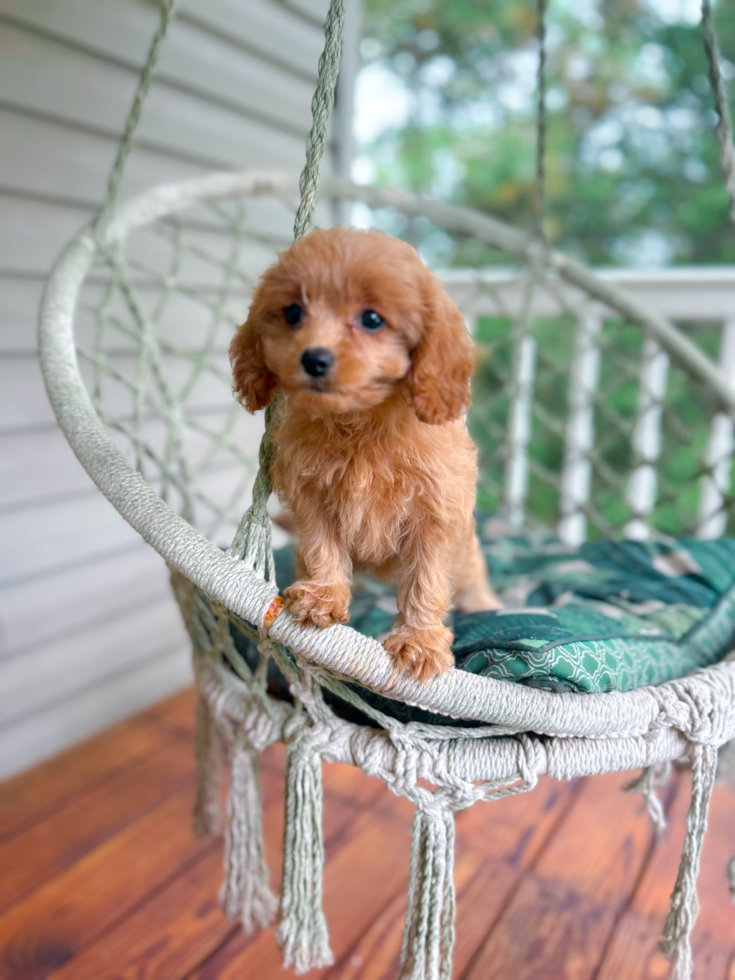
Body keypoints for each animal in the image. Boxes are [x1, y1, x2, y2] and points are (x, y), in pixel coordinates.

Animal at [233, 228, 504, 680]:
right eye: (292, 314)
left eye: (372, 320)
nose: (314, 358)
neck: (361, 421)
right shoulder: (311, 494)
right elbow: (321, 547)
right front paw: (323, 595)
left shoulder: (436, 512)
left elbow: (427, 579)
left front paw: (419, 639)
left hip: (466, 555)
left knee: (471, 581)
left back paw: (489, 605)